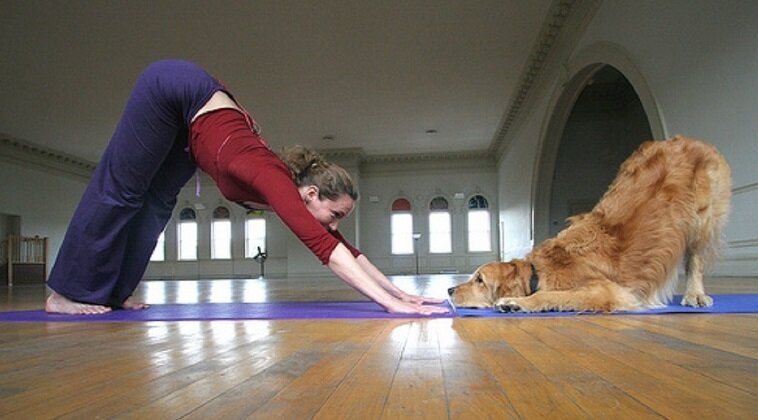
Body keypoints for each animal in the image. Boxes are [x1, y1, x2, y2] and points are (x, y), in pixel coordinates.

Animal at [448, 136, 732, 314]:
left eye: (480, 280)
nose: (449, 289)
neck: (539, 272)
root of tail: (690, 140)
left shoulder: (606, 290)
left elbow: (550, 295)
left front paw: (515, 302)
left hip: (702, 219)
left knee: (695, 260)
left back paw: (694, 294)